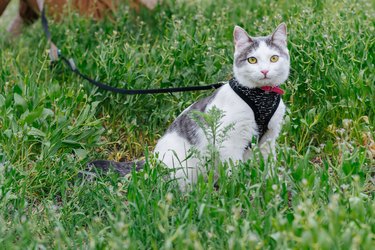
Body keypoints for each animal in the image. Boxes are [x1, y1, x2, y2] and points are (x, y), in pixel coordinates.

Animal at [89, 23, 290, 190]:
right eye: (252, 60)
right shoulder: (230, 142)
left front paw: (271, 185)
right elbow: (234, 169)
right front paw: (239, 190)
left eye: (274, 58)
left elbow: (269, 166)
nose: (264, 71)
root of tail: (151, 161)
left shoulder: (268, 140)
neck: (262, 95)